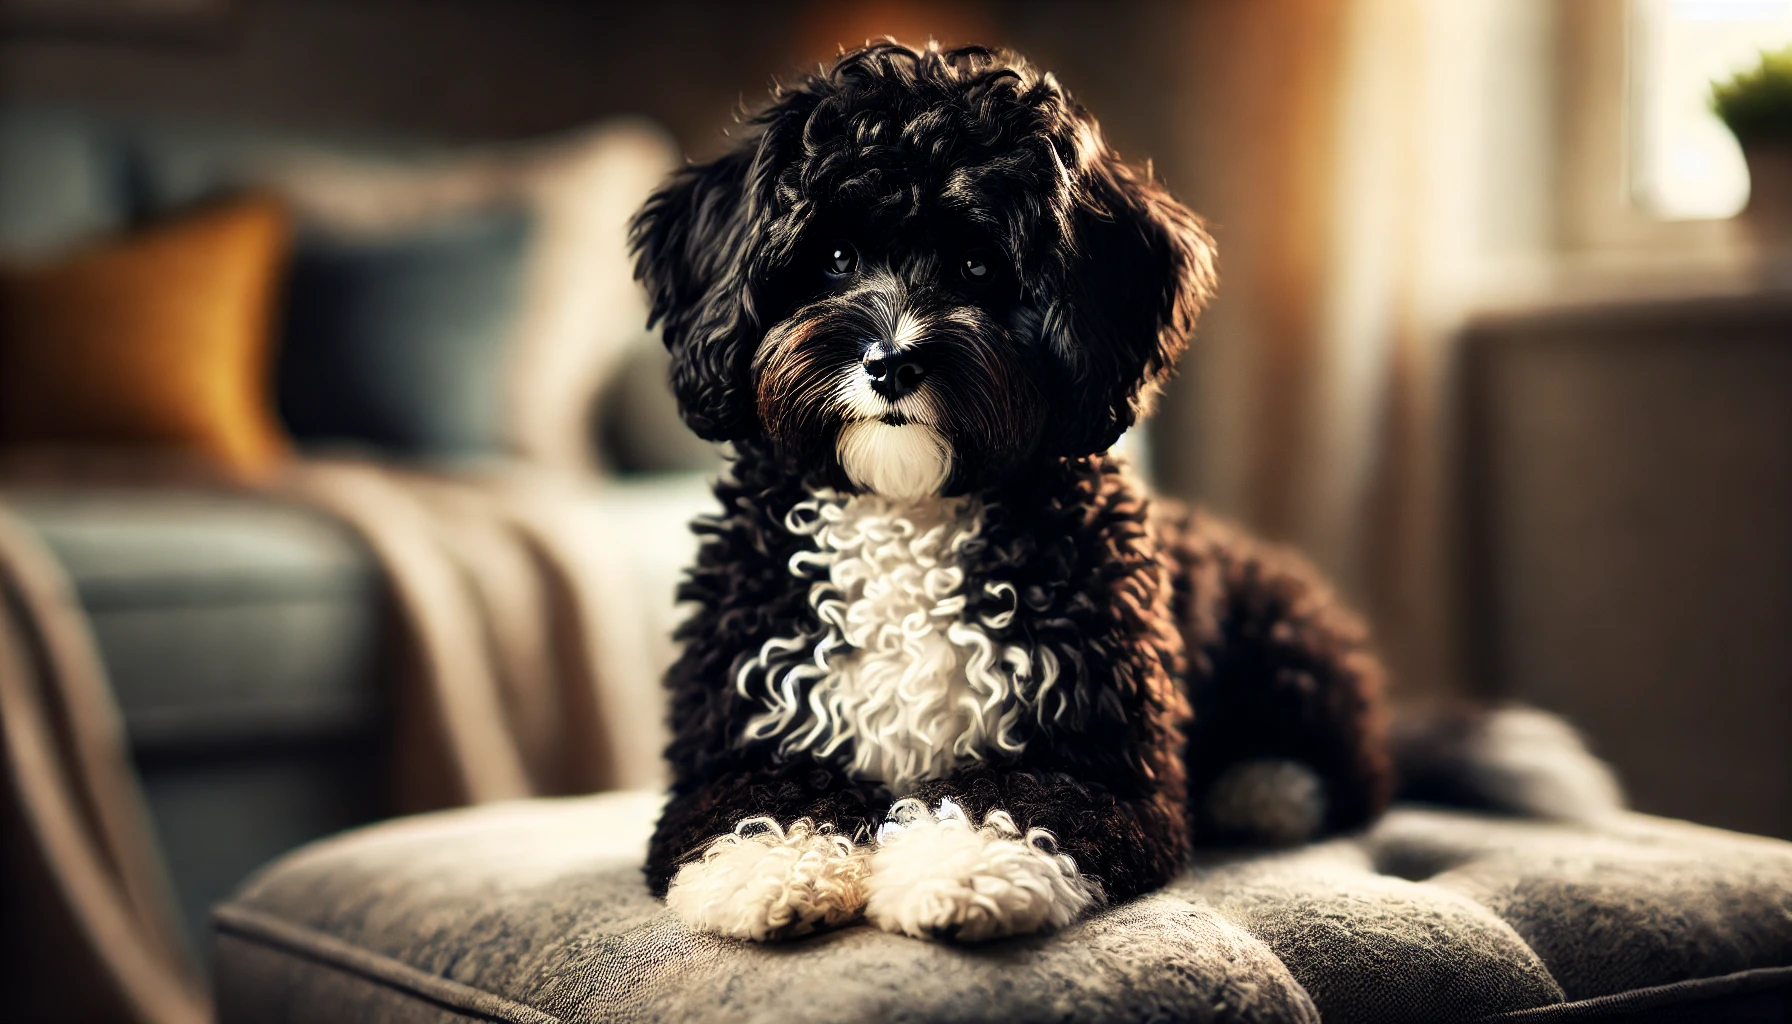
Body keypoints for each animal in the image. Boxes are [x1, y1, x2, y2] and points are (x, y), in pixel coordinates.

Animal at [634, 44, 1397, 946]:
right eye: (834, 257)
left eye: (978, 264)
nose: (891, 361)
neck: (907, 509)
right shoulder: (738, 729)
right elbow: (747, 796)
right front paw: (772, 864)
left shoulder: (1102, 763)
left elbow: (1020, 799)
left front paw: (962, 868)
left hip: (1289, 636)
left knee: (1353, 766)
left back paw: (1266, 789)